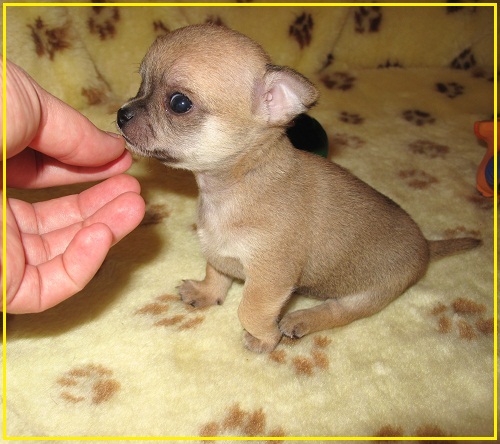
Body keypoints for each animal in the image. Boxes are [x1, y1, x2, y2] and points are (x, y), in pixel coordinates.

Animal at [117, 24, 481, 353]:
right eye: (141, 83)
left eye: (179, 103)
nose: (121, 114)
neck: (237, 182)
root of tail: (426, 247)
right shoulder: (219, 252)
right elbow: (216, 272)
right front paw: (206, 294)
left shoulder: (270, 278)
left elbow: (249, 310)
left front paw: (265, 338)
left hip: (370, 295)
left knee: (338, 311)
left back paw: (300, 319)